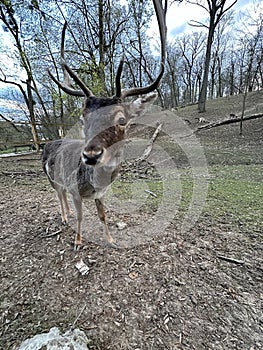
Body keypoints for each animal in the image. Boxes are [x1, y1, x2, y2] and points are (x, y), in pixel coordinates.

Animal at [42, 0, 168, 252]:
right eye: (83, 119)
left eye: (122, 120)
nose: (91, 155)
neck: (93, 184)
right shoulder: (75, 190)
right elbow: (83, 216)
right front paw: (78, 242)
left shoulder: (101, 194)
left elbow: (103, 216)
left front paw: (111, 240)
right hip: (51, 178)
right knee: (58, 194)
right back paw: (65, 216)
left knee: (62, 196)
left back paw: (67, 215)